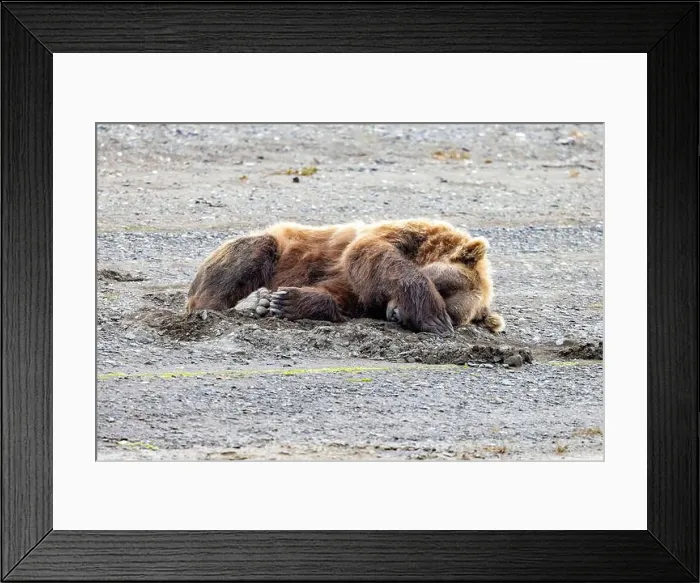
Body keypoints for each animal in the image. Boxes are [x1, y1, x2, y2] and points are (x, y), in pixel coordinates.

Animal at [186, 219, 505, 336]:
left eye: (455, 314)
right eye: (440, 288)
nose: (397, 314)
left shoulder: (364, 295)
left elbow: (338, 295)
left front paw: (287, 301)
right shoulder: (405, 234)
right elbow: (365, 251)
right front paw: (432, 318)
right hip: (272, 244)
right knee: (253, 252)